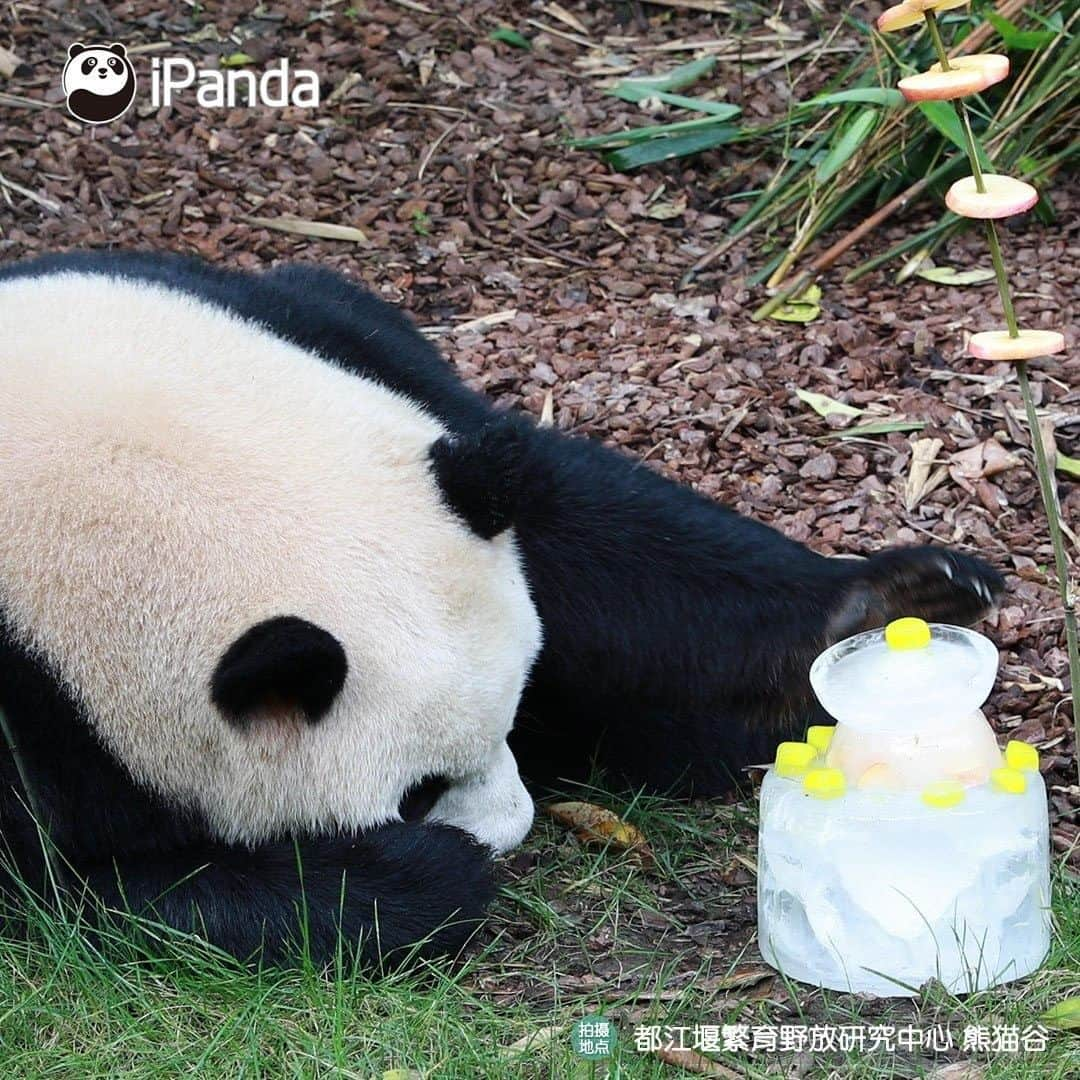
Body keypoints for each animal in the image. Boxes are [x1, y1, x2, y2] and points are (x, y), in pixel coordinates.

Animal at [0, 254, 1002, 972]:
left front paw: (867, 611)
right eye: (418, 790)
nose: (513, 830)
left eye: (513, 710)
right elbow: (78, 890)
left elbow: (593, 545)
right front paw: (422, 876)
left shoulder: (319, 347)